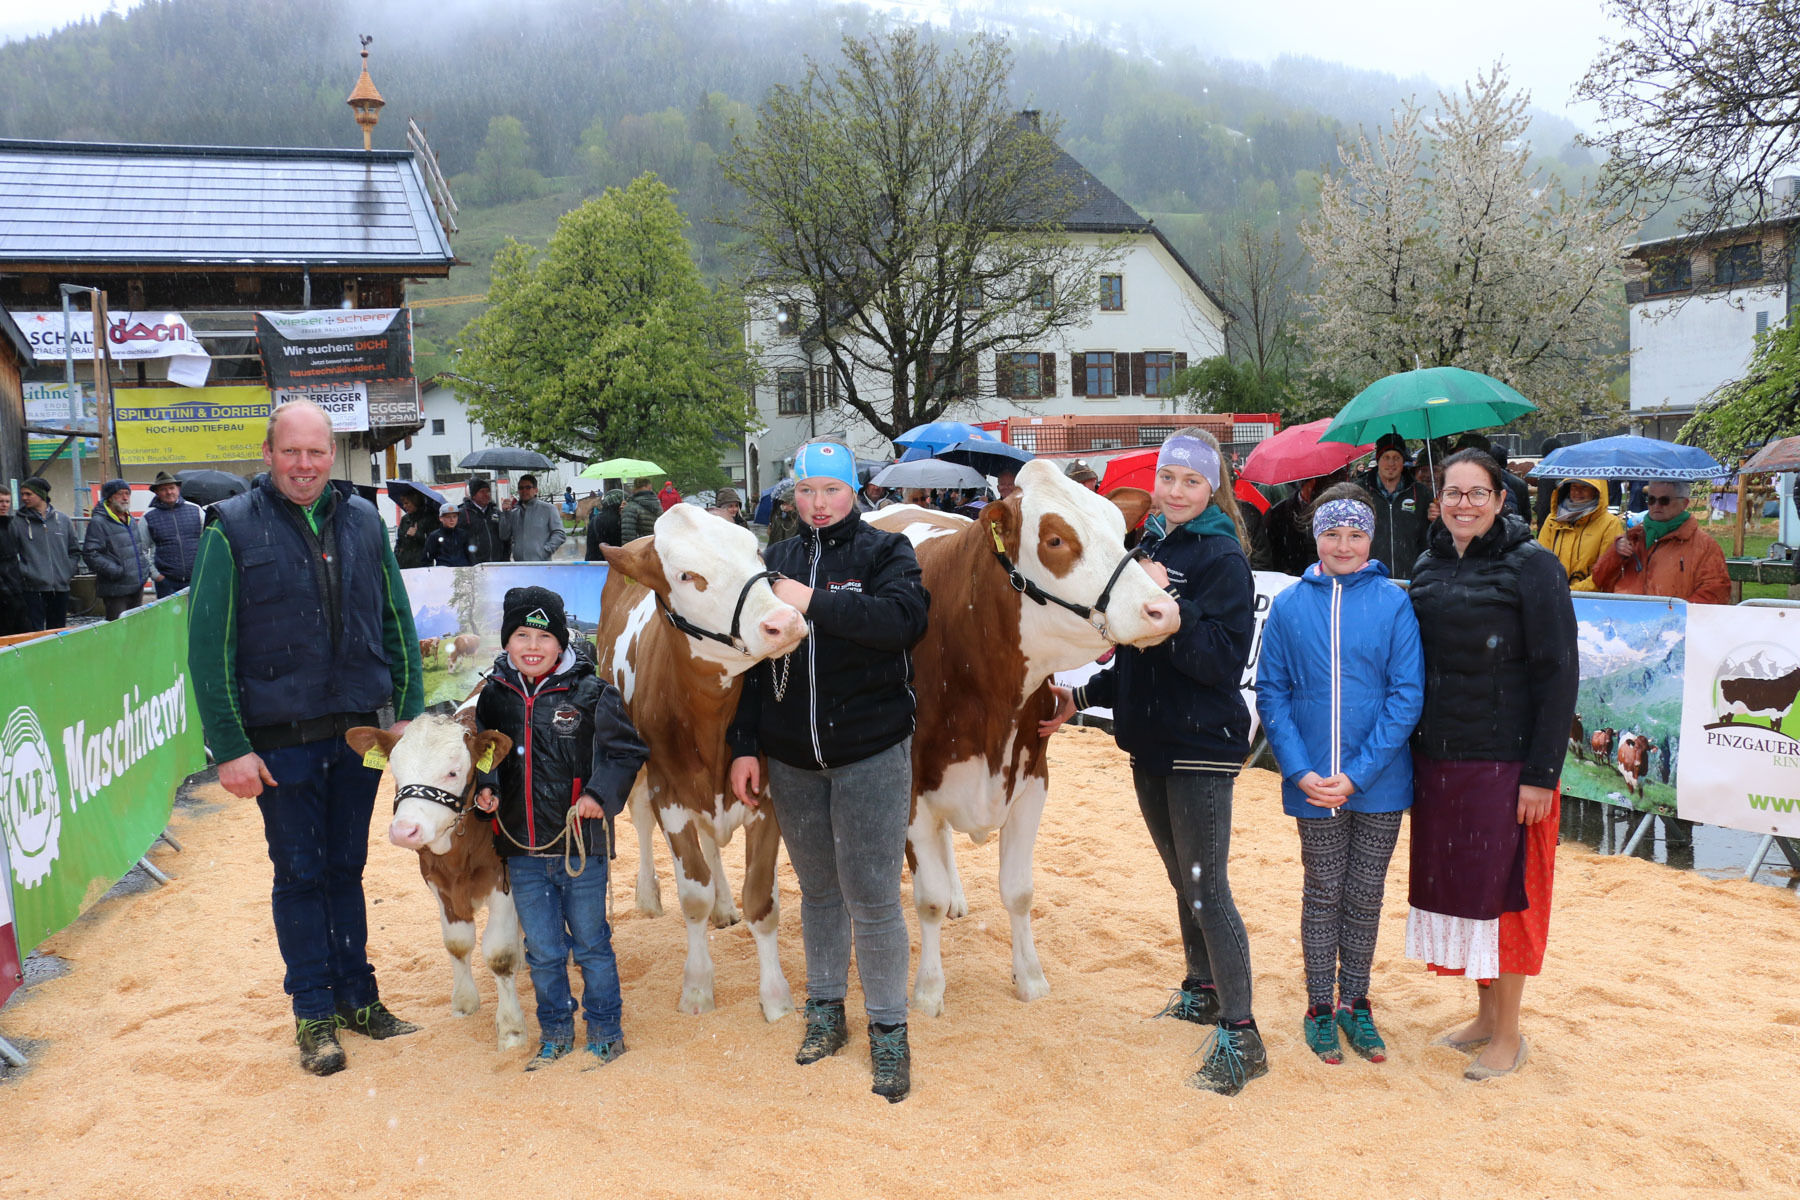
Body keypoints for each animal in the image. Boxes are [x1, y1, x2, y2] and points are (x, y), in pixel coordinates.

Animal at [343, 712, 525, 1050]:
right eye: (395, 770)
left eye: (453, 772)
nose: (404, 830)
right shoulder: (439, 884)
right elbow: (457, 943)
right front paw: (465, 1003)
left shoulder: (502, 881)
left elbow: (498, 955)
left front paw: (511, 1029)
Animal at [597, 503, 810, 1021]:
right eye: (687, 576)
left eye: (755, 550)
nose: (785, 622)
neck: (710, 726)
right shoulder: (668, 796)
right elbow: (692, 895)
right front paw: (696, 988)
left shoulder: (765, 799)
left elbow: (761, 899)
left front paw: (775, 997)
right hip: (635, 769)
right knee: (641, 823)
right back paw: (649, 894)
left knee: (713, 848)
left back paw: (724, 906)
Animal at [871, 456, 1180, 1014]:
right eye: (1055, 540)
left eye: (1120, 529)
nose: (1162, 610)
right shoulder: (908, 788)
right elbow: (926, 900)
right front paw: (928, 990)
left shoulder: (1033, 775)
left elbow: (1018, 891)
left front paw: (1030, 978)